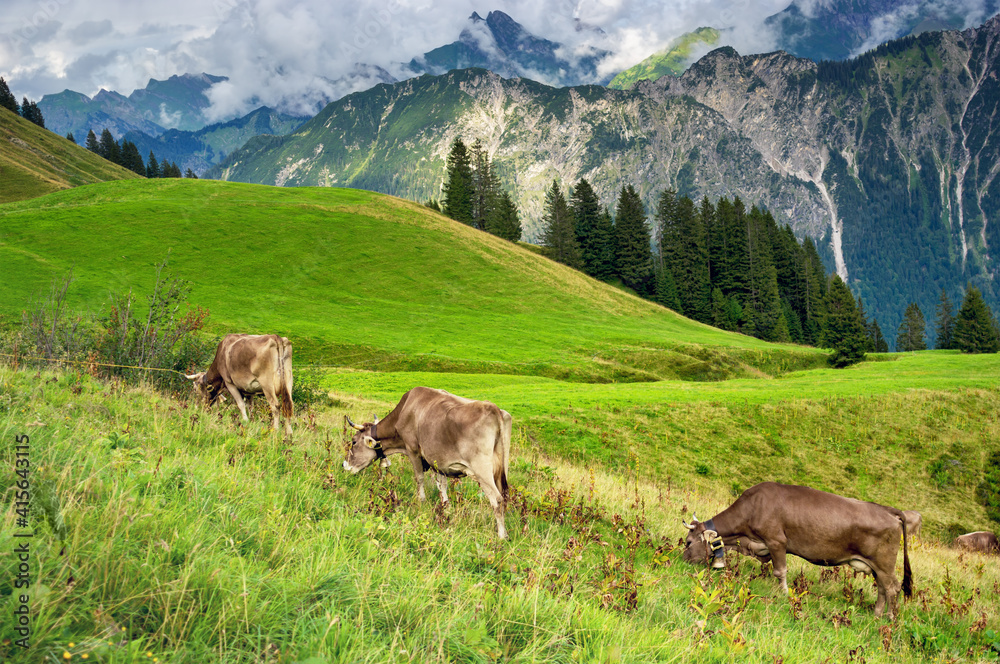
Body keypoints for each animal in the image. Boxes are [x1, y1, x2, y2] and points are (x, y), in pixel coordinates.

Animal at [346, 386, 516, 536]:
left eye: (353, 442)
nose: (345, 466)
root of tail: (493, 407)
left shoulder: (412, 449)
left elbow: (419, 477)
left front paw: (421, 500)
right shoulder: (438, 460)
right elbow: (442, 485)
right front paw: (446, 507)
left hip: (482, 469)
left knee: (497, 499)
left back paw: (502, 535)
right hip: (502, 468)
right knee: (504, 496)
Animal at [684, 482, 912, 616]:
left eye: (688, 542)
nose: (683, 559)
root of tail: (888, 510)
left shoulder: (776, 541)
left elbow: (780, 571)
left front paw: (784, 593)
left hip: (883, 563)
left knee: (892, 587)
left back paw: (889, 617)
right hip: (877, 566)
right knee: (882, 588)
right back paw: (877, 614)